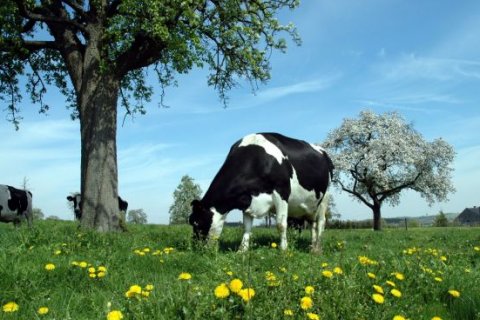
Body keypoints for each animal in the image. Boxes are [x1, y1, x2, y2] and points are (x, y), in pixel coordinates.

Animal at [188, 132, 334, 252]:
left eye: (196, 222)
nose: (195, 247)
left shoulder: (282, 192)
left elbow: (281, 224)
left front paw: (283, 250)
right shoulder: (248, 200)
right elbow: (246, 227)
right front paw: (242, 250)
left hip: (325, 196)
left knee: (321, 222)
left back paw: (318, 248)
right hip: (311, 205)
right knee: (312, 223)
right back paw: (312, 248)